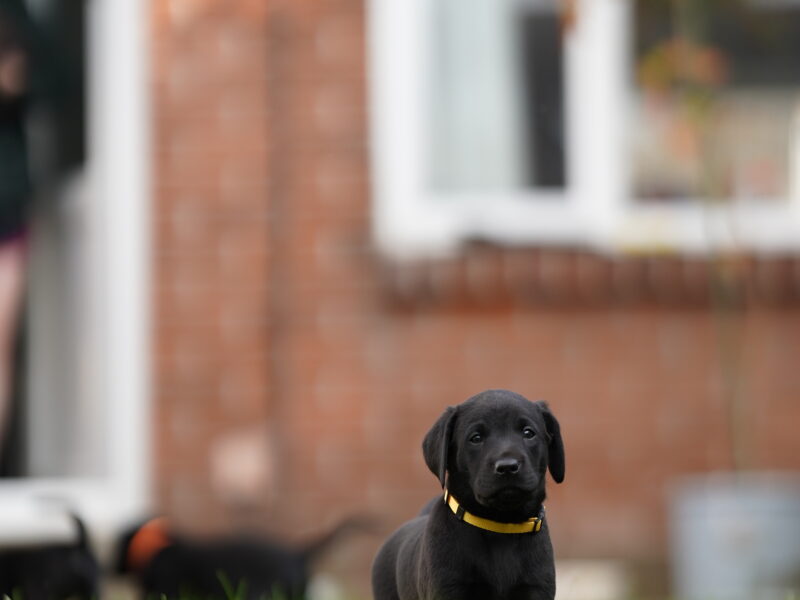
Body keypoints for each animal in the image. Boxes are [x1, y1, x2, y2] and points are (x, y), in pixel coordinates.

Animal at [372, 390, 564, 600]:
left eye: (528, 433)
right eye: (476, 438)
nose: (507, 467)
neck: (500, 527)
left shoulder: (536, 586)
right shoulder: (449, 587)